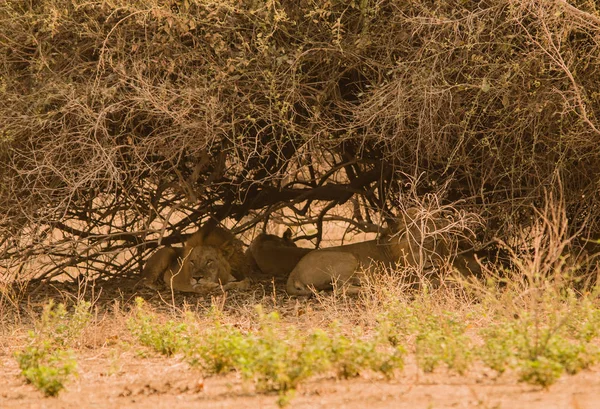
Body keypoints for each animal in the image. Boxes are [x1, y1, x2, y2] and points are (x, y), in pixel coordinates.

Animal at [288, 209, 482, 294]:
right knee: (340, 290)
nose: (430, 261)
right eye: (417, 241)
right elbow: (446, 281)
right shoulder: (413, 279)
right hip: (348, 257)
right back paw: (371, 287)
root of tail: (294, 271)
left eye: (434, 240)